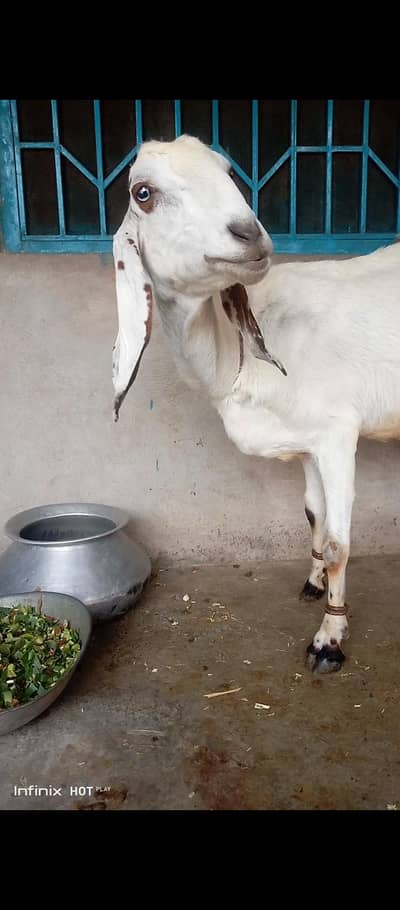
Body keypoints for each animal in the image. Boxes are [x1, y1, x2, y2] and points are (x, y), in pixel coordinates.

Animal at [111, 134, 400, 674]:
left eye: (228, 170)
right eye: (143, 192)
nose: (249, 234)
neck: (236, 360)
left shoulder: (337, 435)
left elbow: (338, 543)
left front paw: (329, 639)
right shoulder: (306, 441)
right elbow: (313, 514)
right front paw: (313, 584)